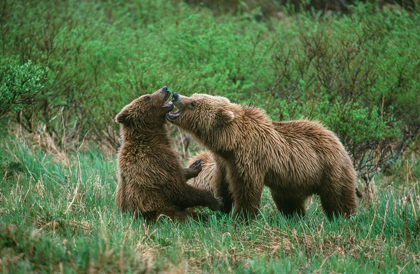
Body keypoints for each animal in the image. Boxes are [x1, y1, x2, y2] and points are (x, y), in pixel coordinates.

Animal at [113, 86, 221, 222]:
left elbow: (180, 174)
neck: (151, 138)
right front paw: (216, 201)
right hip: (165, 212)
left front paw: (195, 166)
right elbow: (178, 190)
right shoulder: (155, 164)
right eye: (147, 97)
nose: (164, 88)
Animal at [167, 92, 358, 220]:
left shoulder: (249, 157)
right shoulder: (224, 162)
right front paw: (222, 208)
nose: (176, 95)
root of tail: (336, 138)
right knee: (289, 201)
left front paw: (242, 217)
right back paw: (295, 217)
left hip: (329, 168)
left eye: (193, 103)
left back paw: (345, 217)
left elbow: (246, 188)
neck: (230, 143)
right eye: (193, 95)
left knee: (338, 196)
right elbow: (223, 185)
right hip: (293, 181)